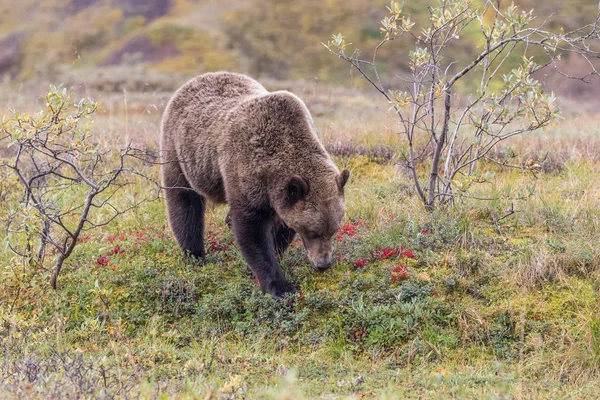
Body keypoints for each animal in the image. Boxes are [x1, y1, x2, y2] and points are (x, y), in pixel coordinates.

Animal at [159, 70, 350, 298]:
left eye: (334, 230)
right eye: (313, 232)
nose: (324, 264)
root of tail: (195, 79)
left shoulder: (279, 194)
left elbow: (280, 229)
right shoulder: (246, 172)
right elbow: (252, 230)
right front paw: (281, 287)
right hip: (179, 151)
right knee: (184, 203)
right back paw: (194, 253)